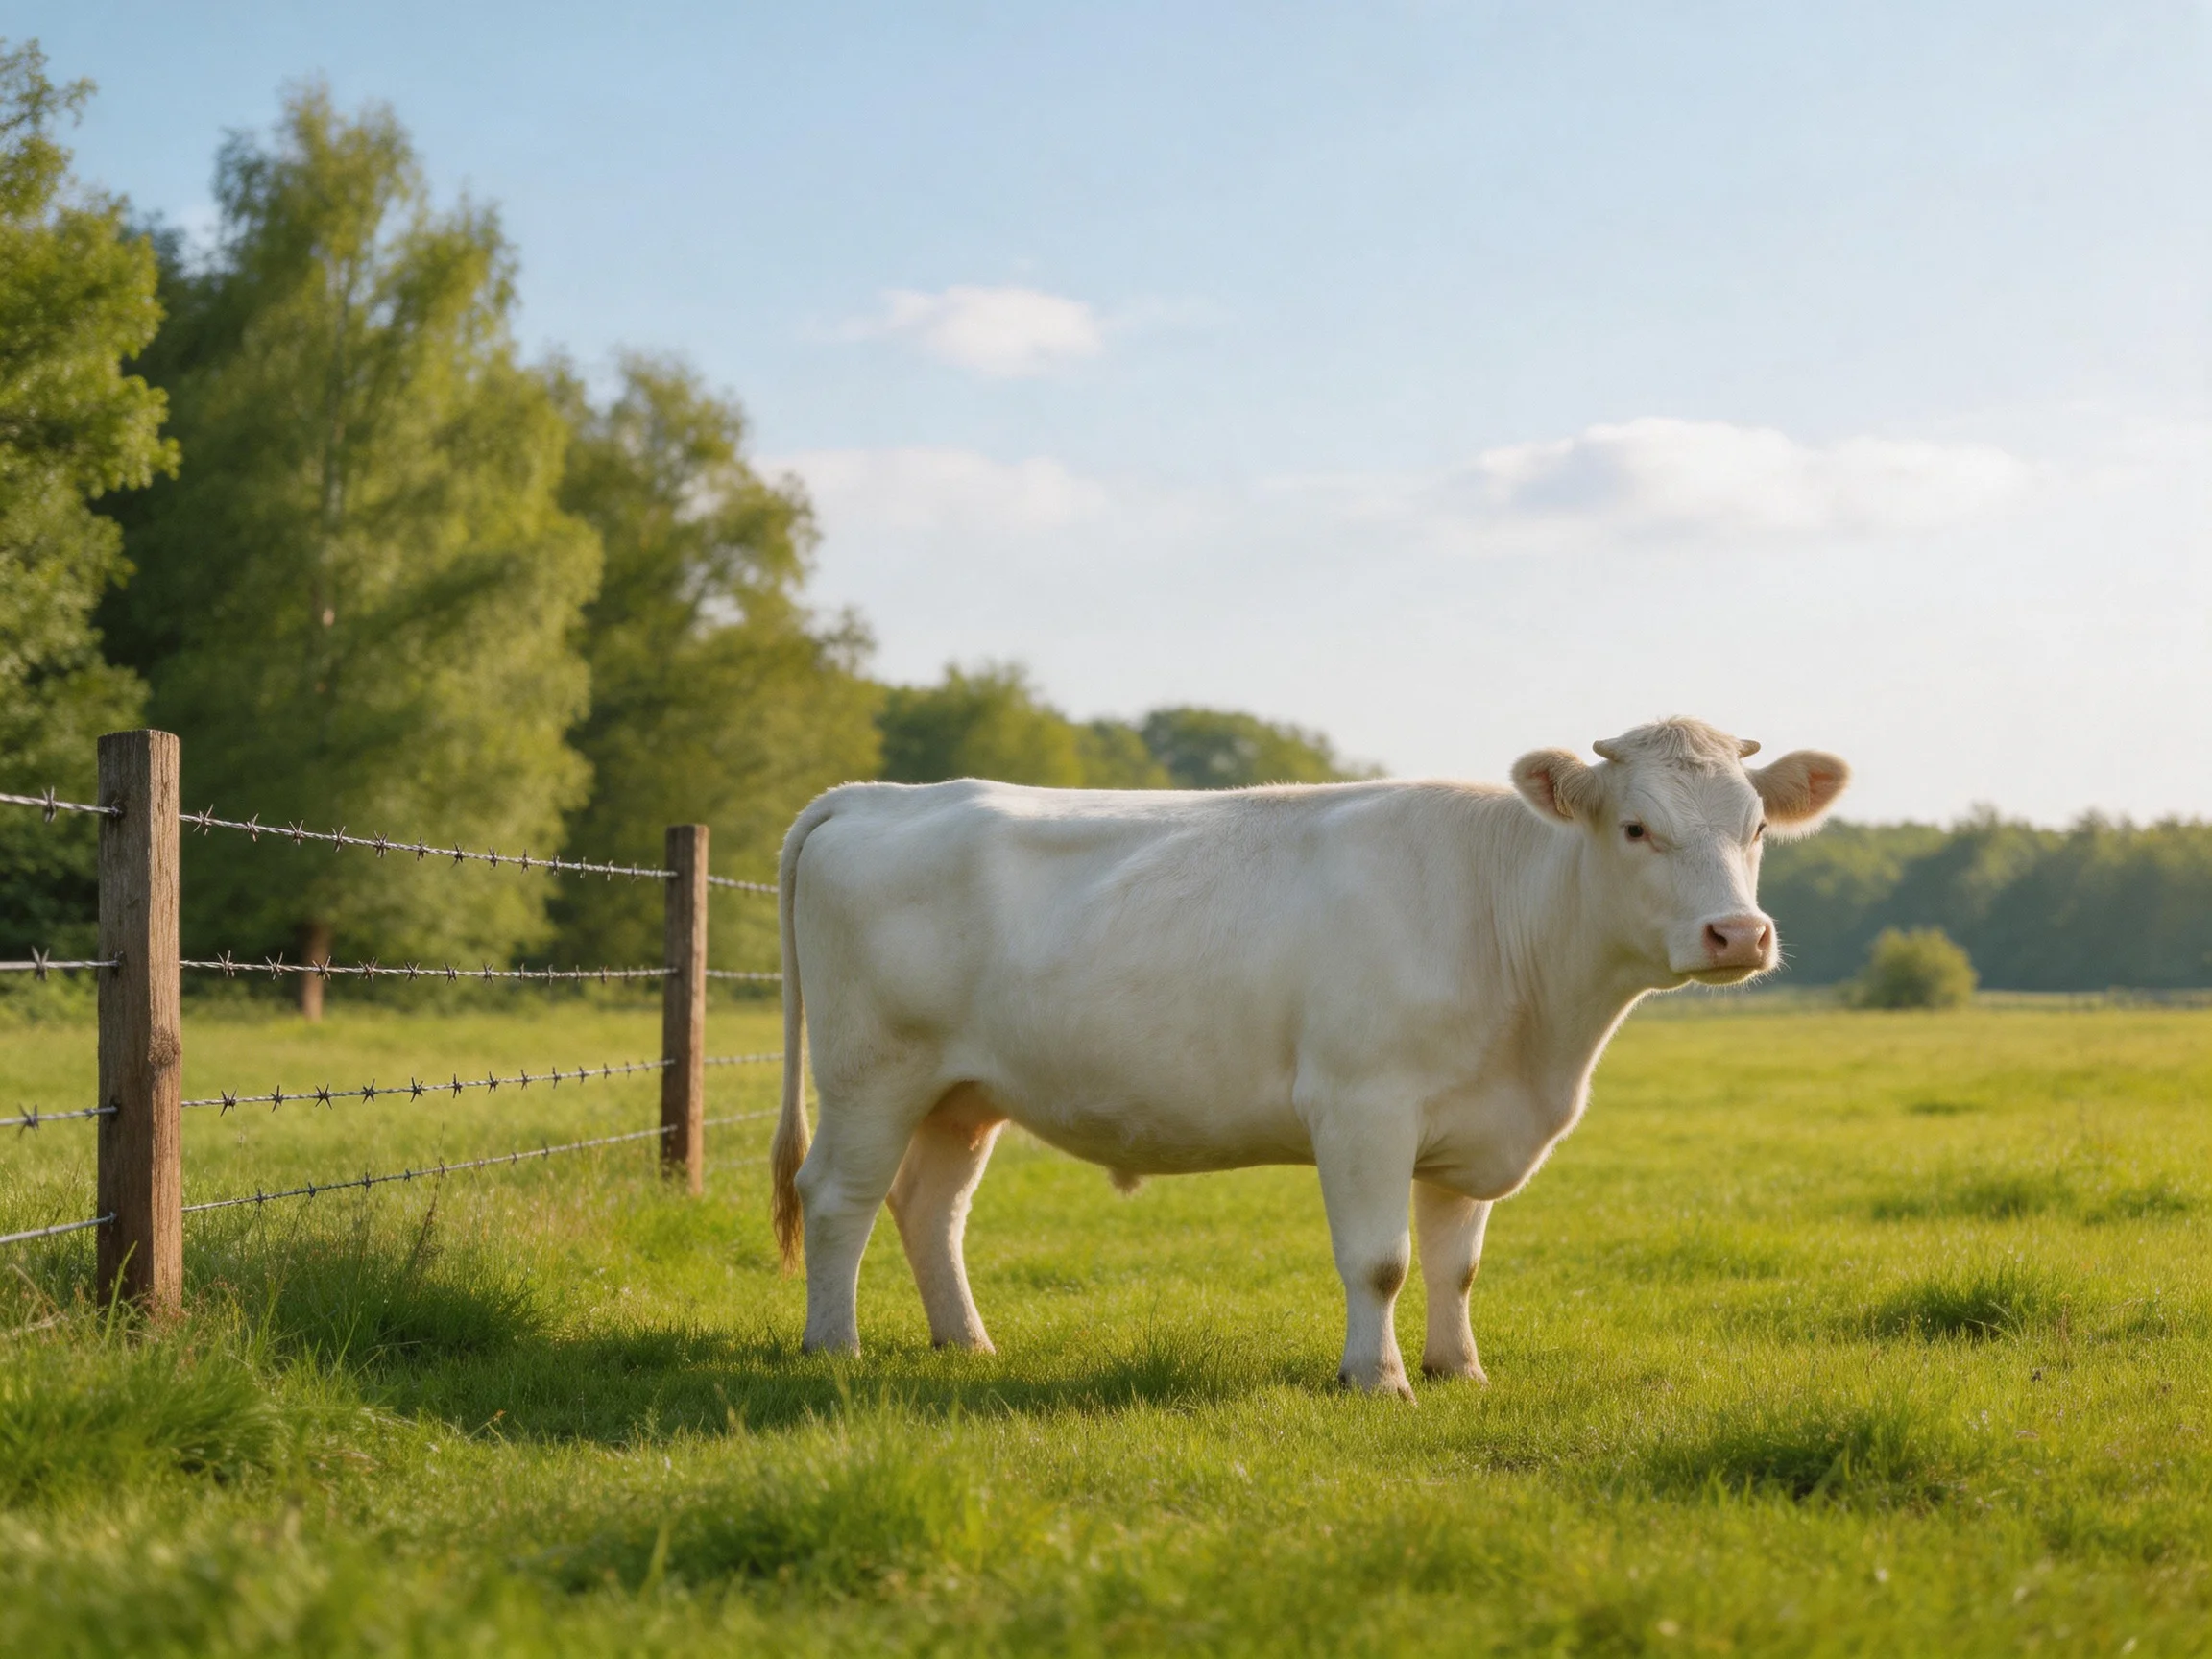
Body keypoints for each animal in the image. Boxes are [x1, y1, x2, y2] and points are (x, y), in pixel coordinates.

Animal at [769, 716, 1847, 1397]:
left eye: (1756, 827)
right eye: (1635, 827)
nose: (1738, 934)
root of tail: (872, 798)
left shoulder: (1470, 1125)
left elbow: (1455, 1265)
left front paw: (1461, 1370)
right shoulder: (1362, 1105)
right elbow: (1380, 1261)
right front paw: (1377, 1379)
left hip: (962, 1092)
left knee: (930, 1206)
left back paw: (967, 1344)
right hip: (873, 1072)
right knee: (838, 1197)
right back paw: (834, 1348)